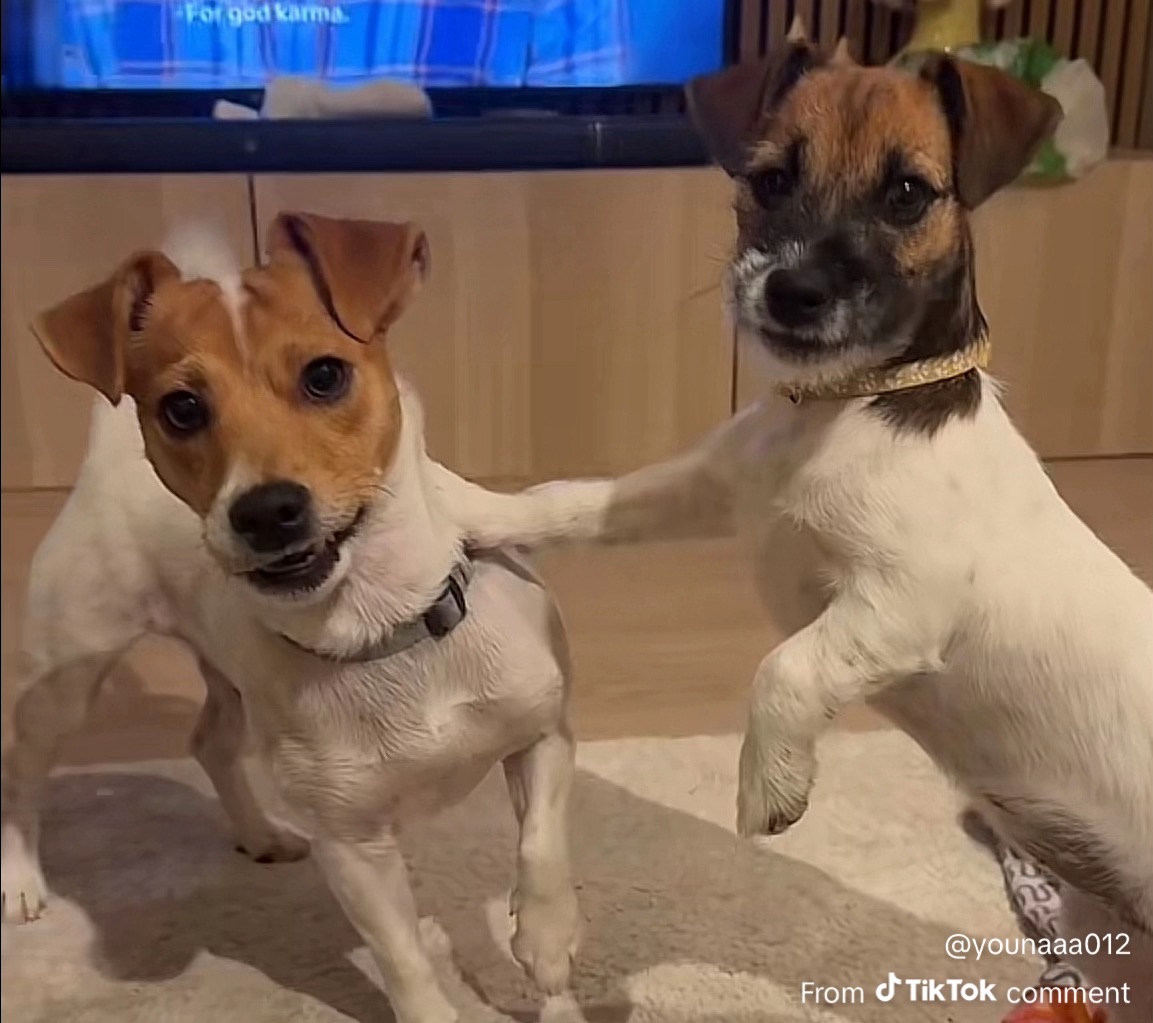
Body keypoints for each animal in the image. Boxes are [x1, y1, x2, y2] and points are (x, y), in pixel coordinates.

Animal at [0, 213, 581, 1023]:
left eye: (325, 375)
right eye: (181, 408)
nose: (266, 510)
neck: (386, 629)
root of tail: (102, 459)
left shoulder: (544, 733)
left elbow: (541, 849)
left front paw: (548, 945)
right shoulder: (353, 847)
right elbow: (405, 963)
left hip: (224, 673)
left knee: (209, 741)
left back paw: (257, 833)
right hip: (64, 679)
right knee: (21, 772)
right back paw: (20, 879)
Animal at [441, 38, 1153, 1017]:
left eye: (907, 194)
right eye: (772, 178)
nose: (794, 290)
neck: (845, 406)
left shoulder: (900, 602)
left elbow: (783, 667)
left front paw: (768, 784)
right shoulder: (705, 487)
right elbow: (570, 498)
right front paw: (471, 506)